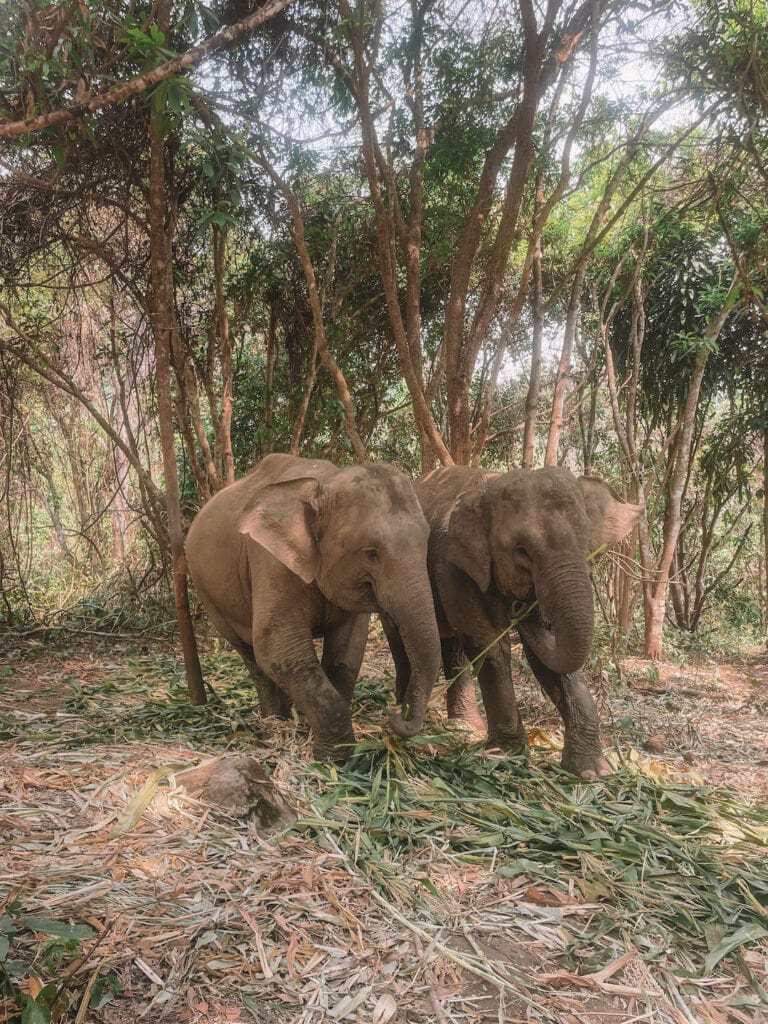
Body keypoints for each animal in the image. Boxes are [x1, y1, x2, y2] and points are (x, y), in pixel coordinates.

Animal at [185, 453, 442, 763]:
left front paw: (322, 739)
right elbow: (279, 650)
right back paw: (276, 720)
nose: (395, 714)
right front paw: (336, 758)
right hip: (208, 594)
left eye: (426, 541)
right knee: (251, 655)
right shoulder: (271, 563)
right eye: (371, 552)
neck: (324, 483)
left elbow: (346, 652)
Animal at [385, 466, 641, 779]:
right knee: (401, 637)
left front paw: (593, 771)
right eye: (522, 551)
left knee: (454, 647)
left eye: (585, 543)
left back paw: (464, 725)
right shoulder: (452, 563)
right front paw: (507, 754)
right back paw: (405, 707)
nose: (521, 608)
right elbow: (488, 644)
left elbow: (547, 658)